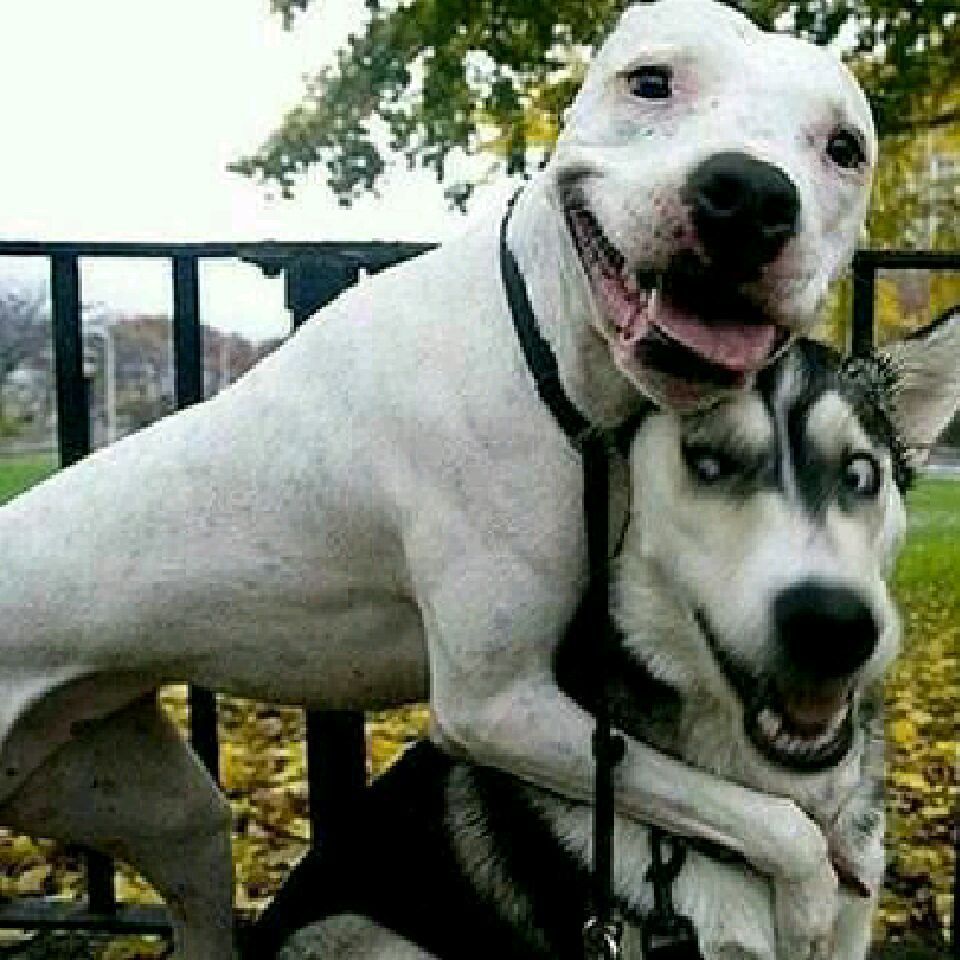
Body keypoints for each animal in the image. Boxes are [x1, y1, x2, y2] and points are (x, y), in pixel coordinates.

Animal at [0, 2, 881, 956]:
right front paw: (811, 898)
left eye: (844, 147)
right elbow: (773, 820)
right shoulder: (498, 709)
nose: (751, 196)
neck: (548, 340)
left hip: (155, 808)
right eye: (650, 81)